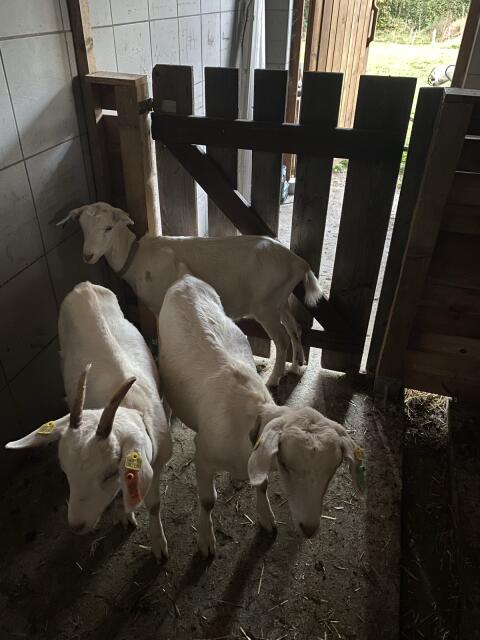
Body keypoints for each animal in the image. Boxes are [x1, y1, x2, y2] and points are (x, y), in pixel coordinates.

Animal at [5, 282, 172, 560]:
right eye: (65, 470)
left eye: (109, 474)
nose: (76, 525)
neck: (128, 404)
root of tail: (84, 286)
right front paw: (124, 514)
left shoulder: (156, 461)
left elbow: (154, 504)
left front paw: (158, 544)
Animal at [59, 202, 323, 387]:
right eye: (83, 227)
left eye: (109, 228)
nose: (88, 255)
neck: (137, 258)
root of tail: (298, 263)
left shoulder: (159, 304)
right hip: (280, 299)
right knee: (295, 328)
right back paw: (296, 366)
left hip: (265, 306)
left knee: (281, 340)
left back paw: (274, 379)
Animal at [157, 274, 365, 556]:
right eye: (287, 465)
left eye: (332, 469)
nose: (309, 529)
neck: (248, 420)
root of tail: (186, 279)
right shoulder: (204, 455)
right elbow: (208, 501)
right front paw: (206, 539)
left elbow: (262, 484)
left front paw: (266, 518)